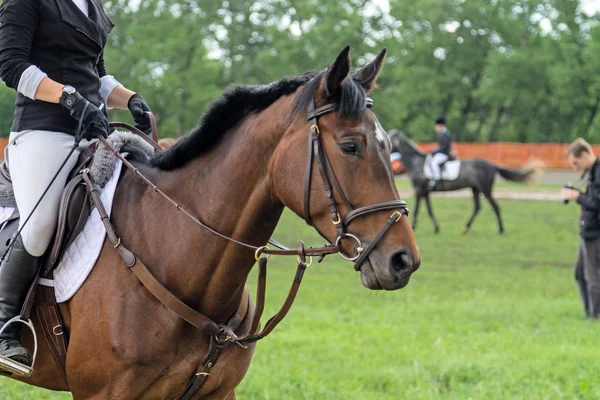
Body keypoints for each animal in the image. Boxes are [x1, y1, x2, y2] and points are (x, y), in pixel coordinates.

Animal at [390, 130, 544, 234]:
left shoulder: (419, 190)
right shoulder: (425, 192)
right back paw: (465, 228)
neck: (416, 162)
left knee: (495, 207)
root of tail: (492, 165)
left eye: (390, 137)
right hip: (475, 189)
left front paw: (413, 227)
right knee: (477, 207)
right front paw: (436, 228)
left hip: (485, 190)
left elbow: (417, 209)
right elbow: (429, 210)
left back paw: (500, 230)